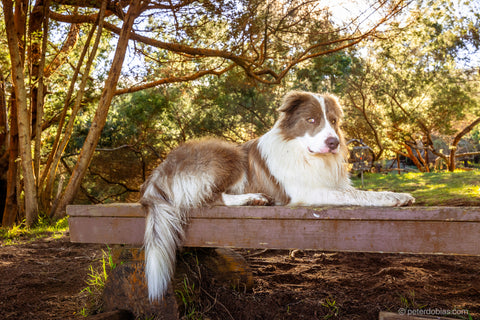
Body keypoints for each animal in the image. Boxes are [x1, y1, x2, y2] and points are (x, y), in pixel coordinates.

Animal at [141, 90, 414, 300]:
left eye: (334, 121)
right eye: (311, 120)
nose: (334, 142)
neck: (304, 153)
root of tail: (162, 168)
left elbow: (359, 191)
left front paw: (394, 193)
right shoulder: (308, 193)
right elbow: (359, 196)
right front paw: (394, 198)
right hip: (227, 155)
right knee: (214, 199)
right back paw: (252, 198)